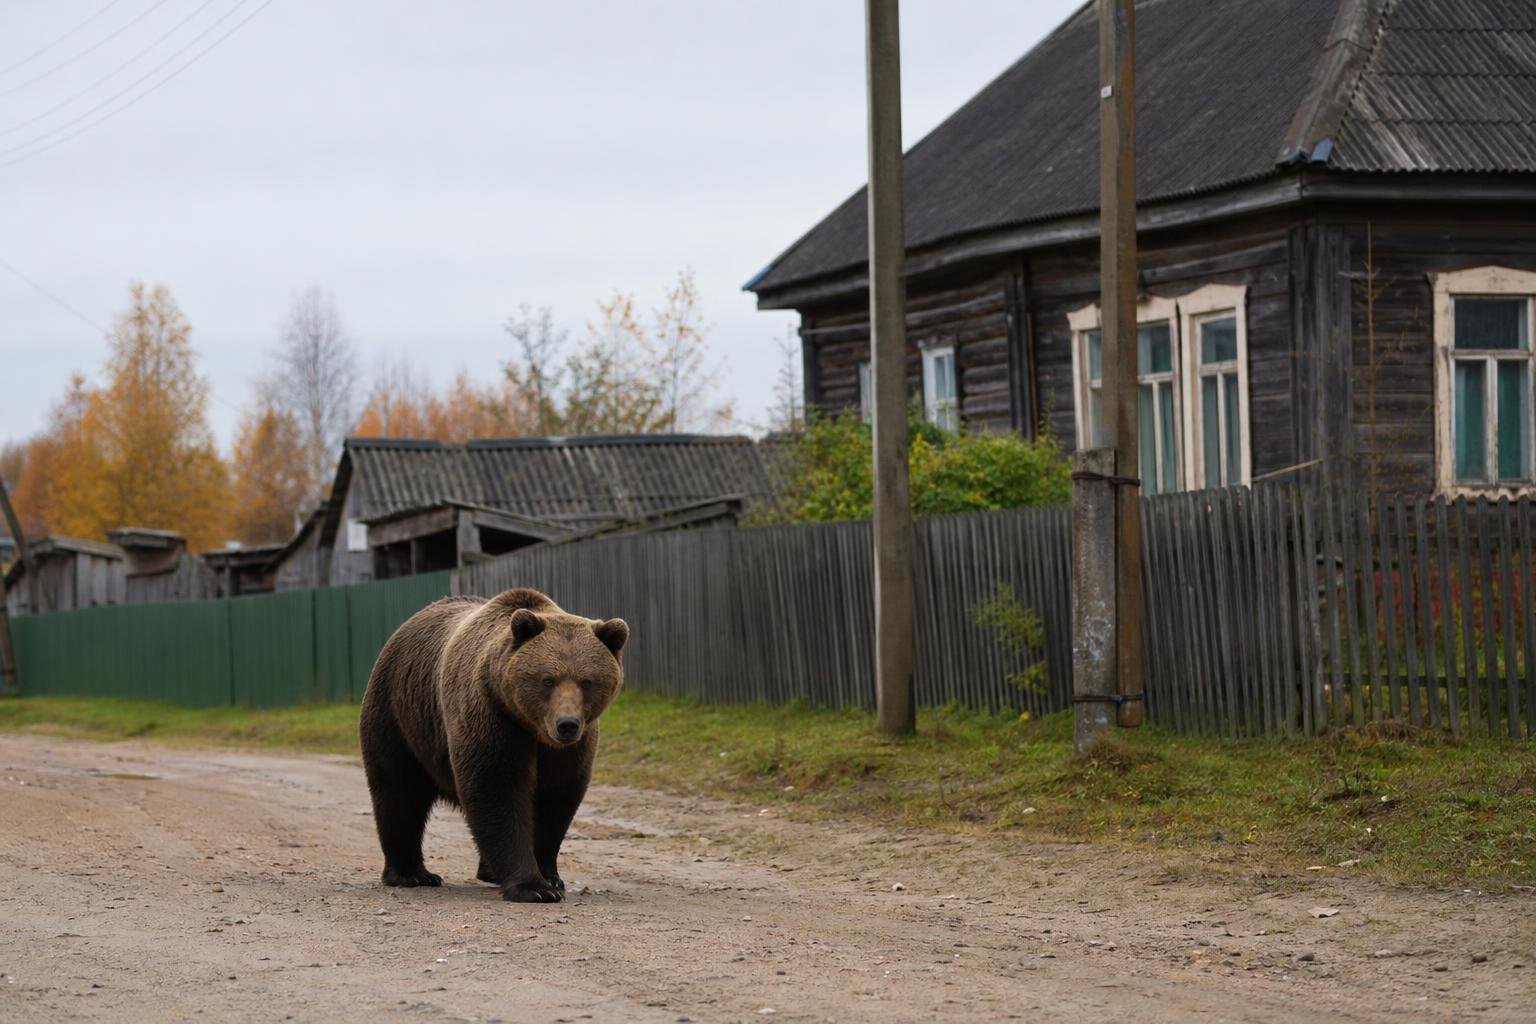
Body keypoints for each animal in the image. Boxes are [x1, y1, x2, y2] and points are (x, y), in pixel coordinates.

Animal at [358, 587, 628, 903]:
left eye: (587, 681)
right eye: (548, 679)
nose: (567, 724)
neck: (533, 728)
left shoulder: (570, 749)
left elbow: (557, 798)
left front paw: (549, 876)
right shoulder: (492, 715)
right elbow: (497, 787)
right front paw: (533, 887)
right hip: (401, 714)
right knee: (399, 790)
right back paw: (412, 874)